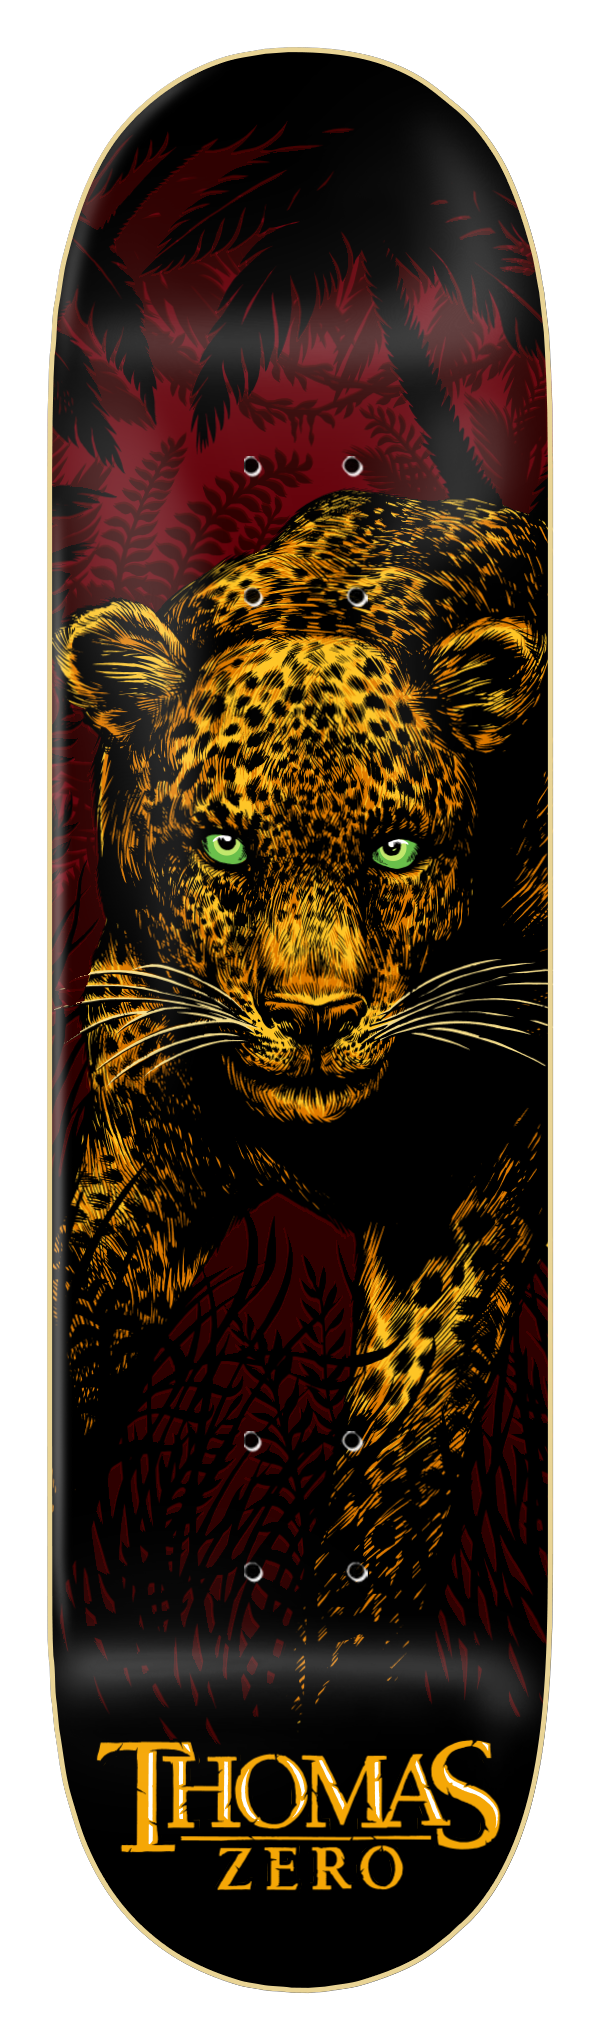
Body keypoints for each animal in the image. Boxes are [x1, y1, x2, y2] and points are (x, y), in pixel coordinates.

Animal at [53, 490, 548, 1661]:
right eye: (224, 846)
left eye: (396, 850)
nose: (313, 1016)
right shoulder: (140, 1153)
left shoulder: (453, 1218)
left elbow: (388, 1499)